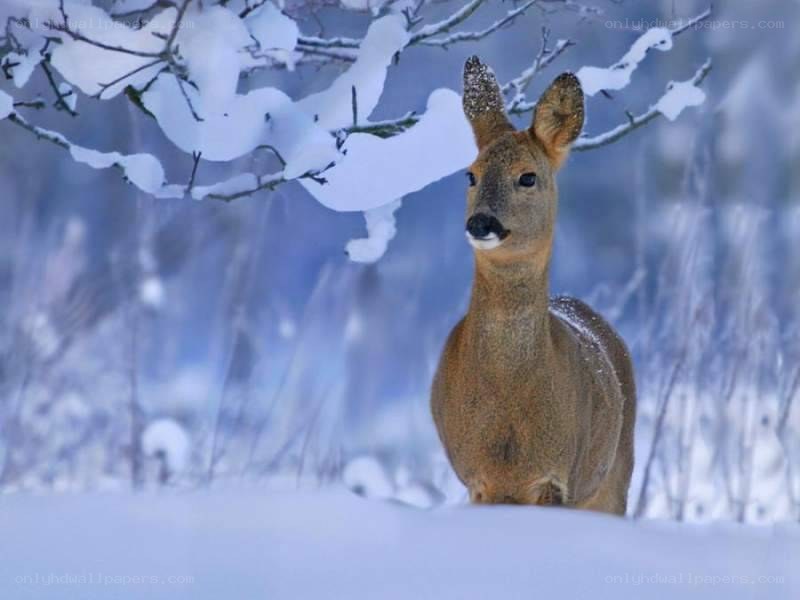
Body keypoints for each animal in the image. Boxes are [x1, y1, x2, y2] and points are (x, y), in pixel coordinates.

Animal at [430, 57, 636, 515]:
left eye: (527, 177)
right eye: (470, 175)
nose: (480, 223)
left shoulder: (556, 477)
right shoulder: (477, 477)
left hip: (616, 471)